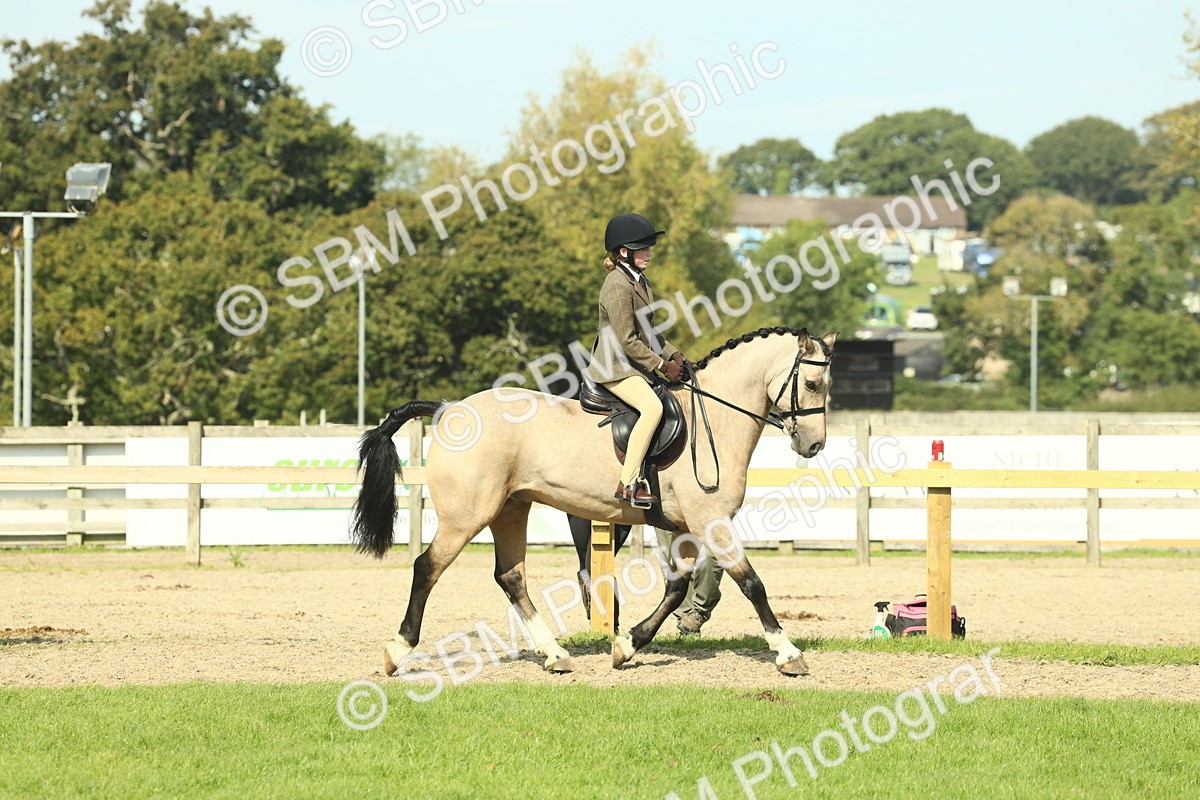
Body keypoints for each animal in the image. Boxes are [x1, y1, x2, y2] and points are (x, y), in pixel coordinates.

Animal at [351, 325, 837, 676]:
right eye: (813, 383)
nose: (813, 445)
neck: (715, 417)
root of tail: (447, 409)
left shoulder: (684, 528)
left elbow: (676, 589)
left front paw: (627, 645)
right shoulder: (710, 521)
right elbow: (752, 583)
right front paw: (788, 653)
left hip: (510, 510)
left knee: (511, 576)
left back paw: (554, 654)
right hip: (466, 515)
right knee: (427, 568)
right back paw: (396, 652)